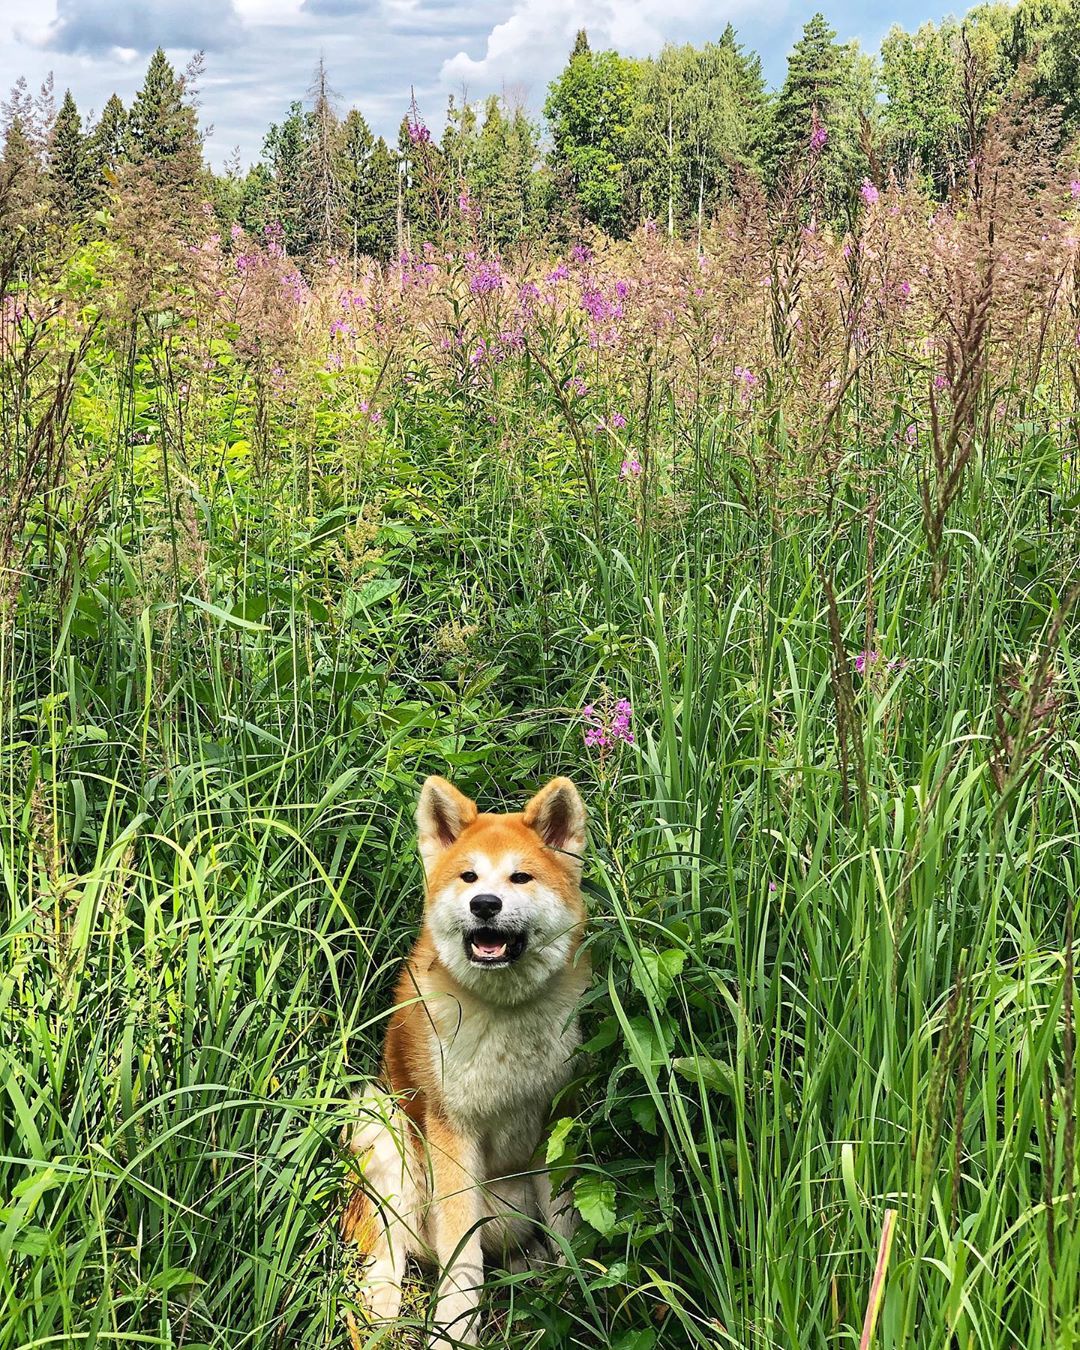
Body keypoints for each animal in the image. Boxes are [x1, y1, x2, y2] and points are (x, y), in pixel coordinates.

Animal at [340, 777, 585, 1344]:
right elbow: (462, 1262)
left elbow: (563, 1222)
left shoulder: (555, 1119)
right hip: (382, 1124)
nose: (485, 904)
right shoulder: (452, 1132)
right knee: (386, 1258)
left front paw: (572, 1296)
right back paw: (381, 1315)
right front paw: (451, 1334)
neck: (505, 1015)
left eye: (520, 876)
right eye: (469, 876)